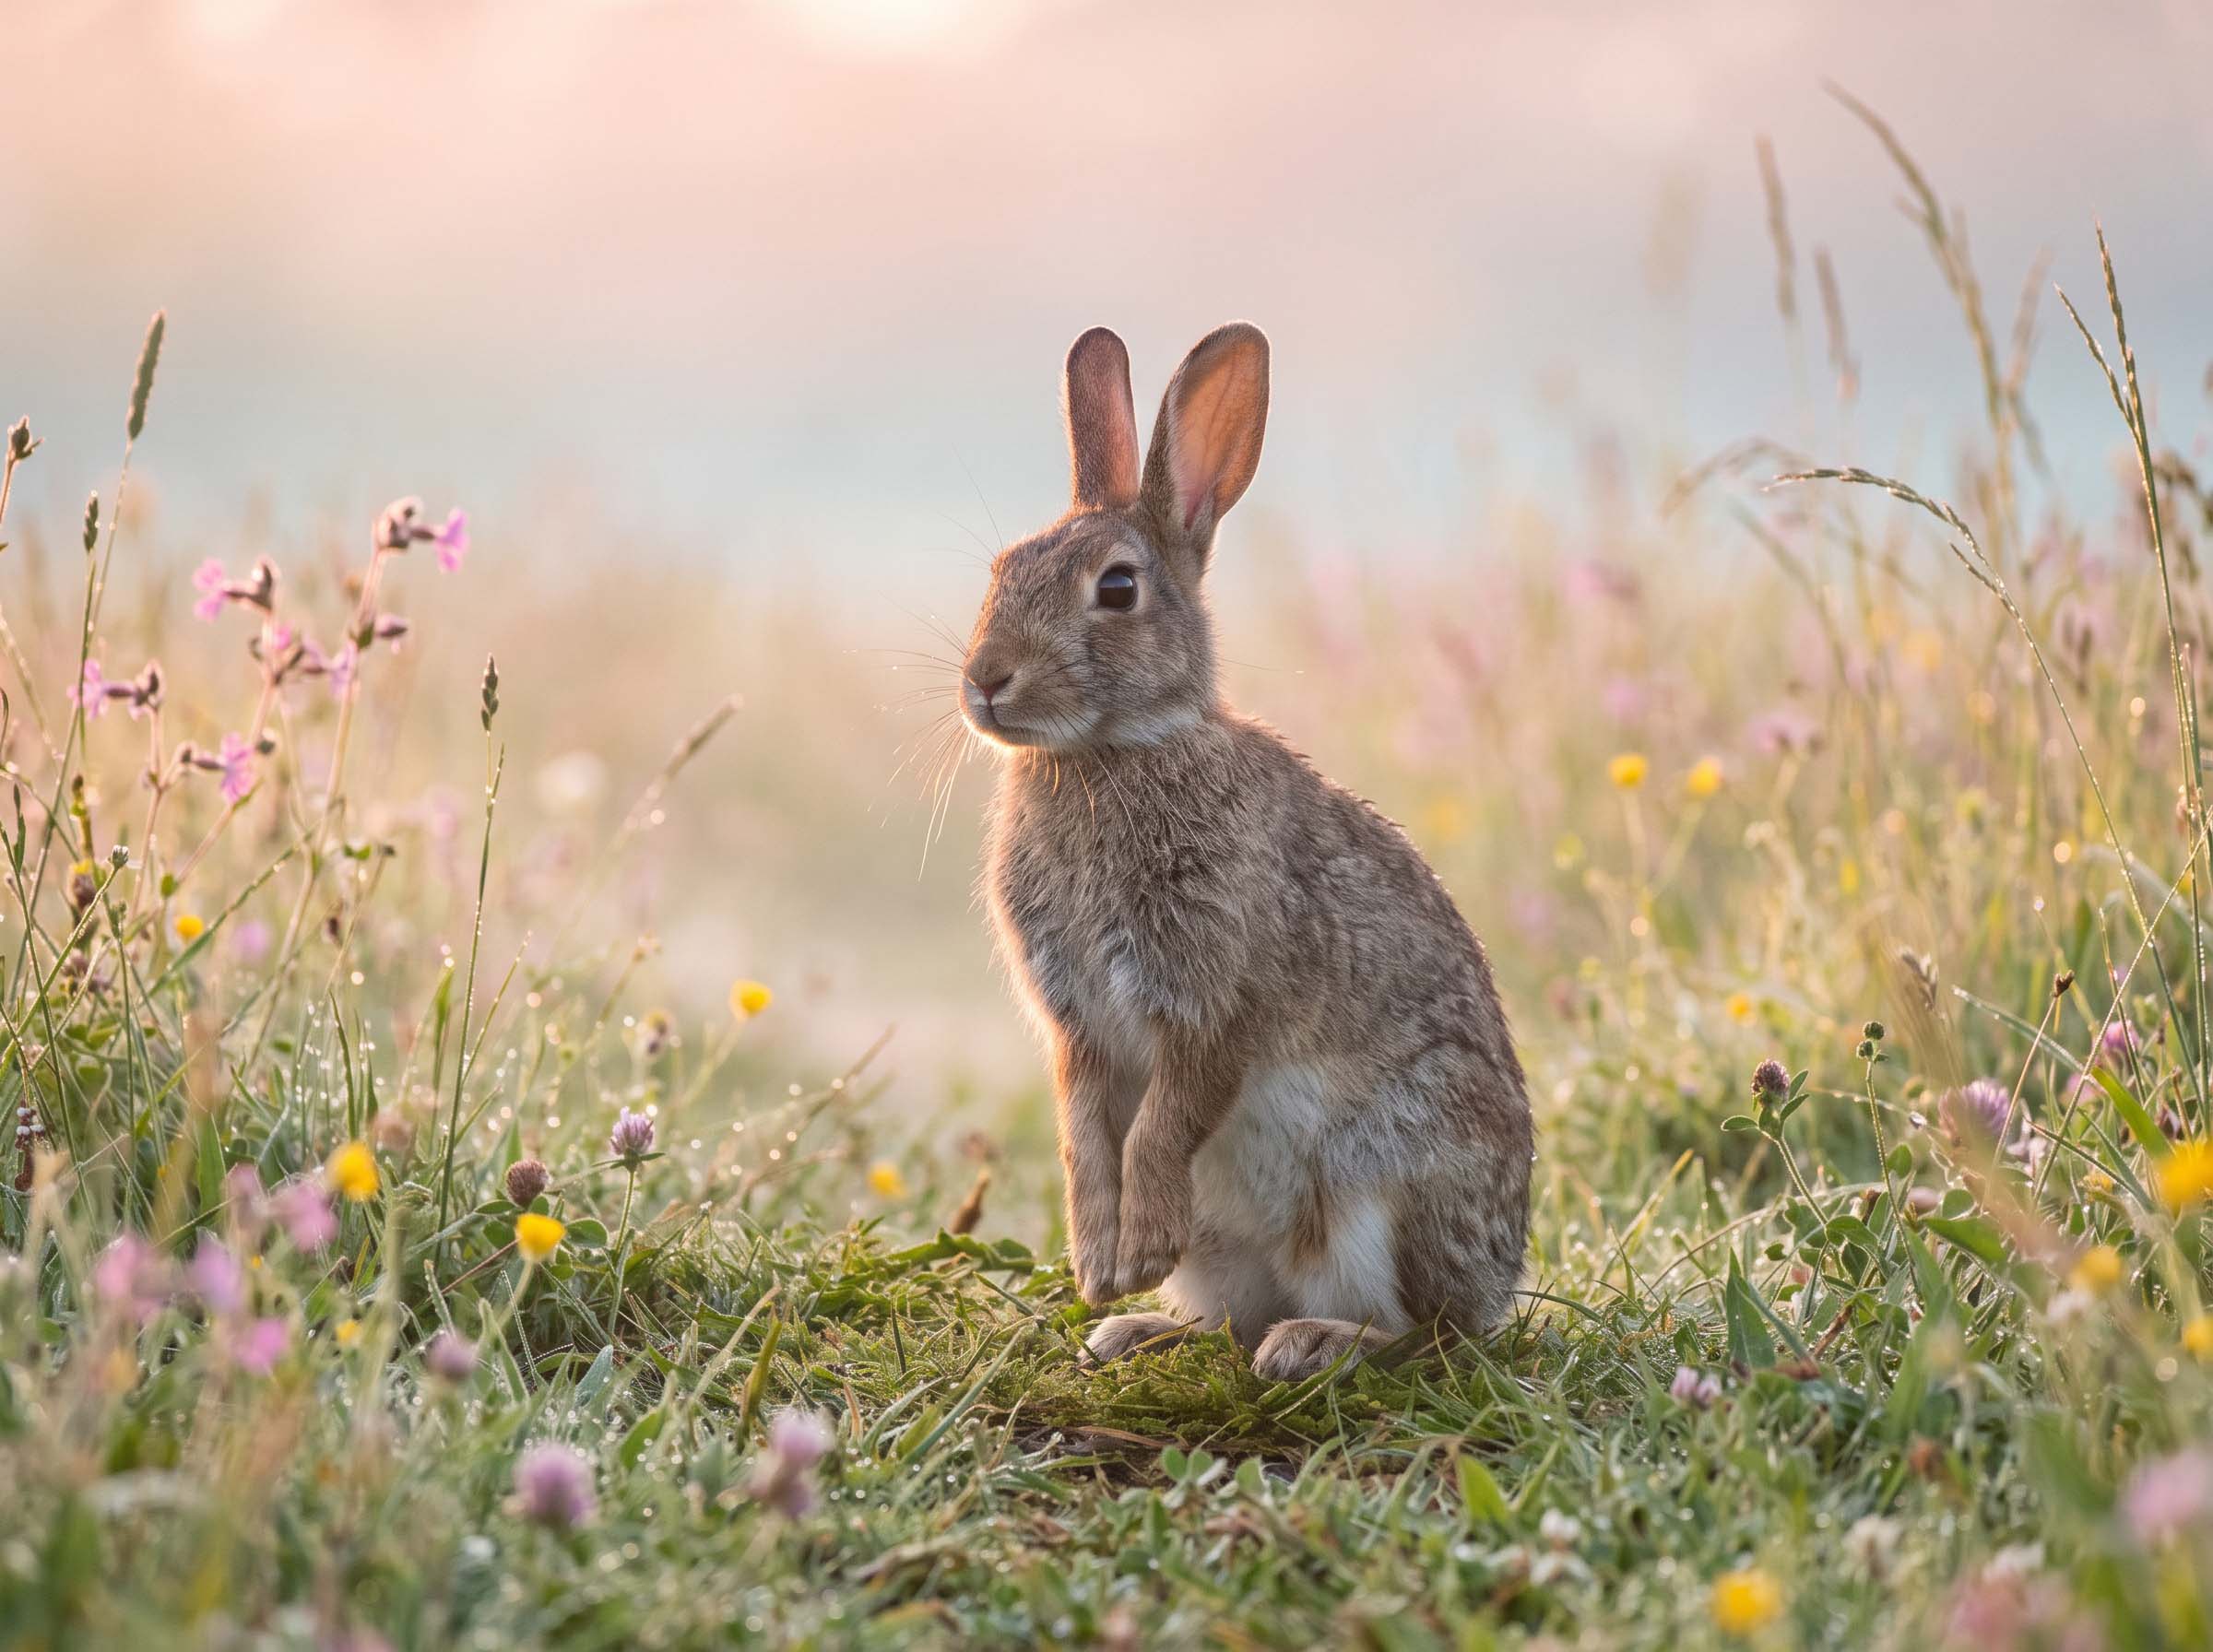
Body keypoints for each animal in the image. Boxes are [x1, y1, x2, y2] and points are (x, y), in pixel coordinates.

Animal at [958, 322, 1532, 1382]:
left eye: (1116, 588)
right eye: (1001, 569)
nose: (985, 681)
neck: (1109, 752)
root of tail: (1500, 1280)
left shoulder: (1213, 999)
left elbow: (1164, 1124)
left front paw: (1136, 1251)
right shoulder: (1079, 1030)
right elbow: (1083, 1138)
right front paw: (1100, 1268)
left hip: (1381, 1180)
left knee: (1425, 1335)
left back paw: (1315, 1342)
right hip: (1231, 1246)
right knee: (1234, 1314)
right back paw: (1139, 1329)